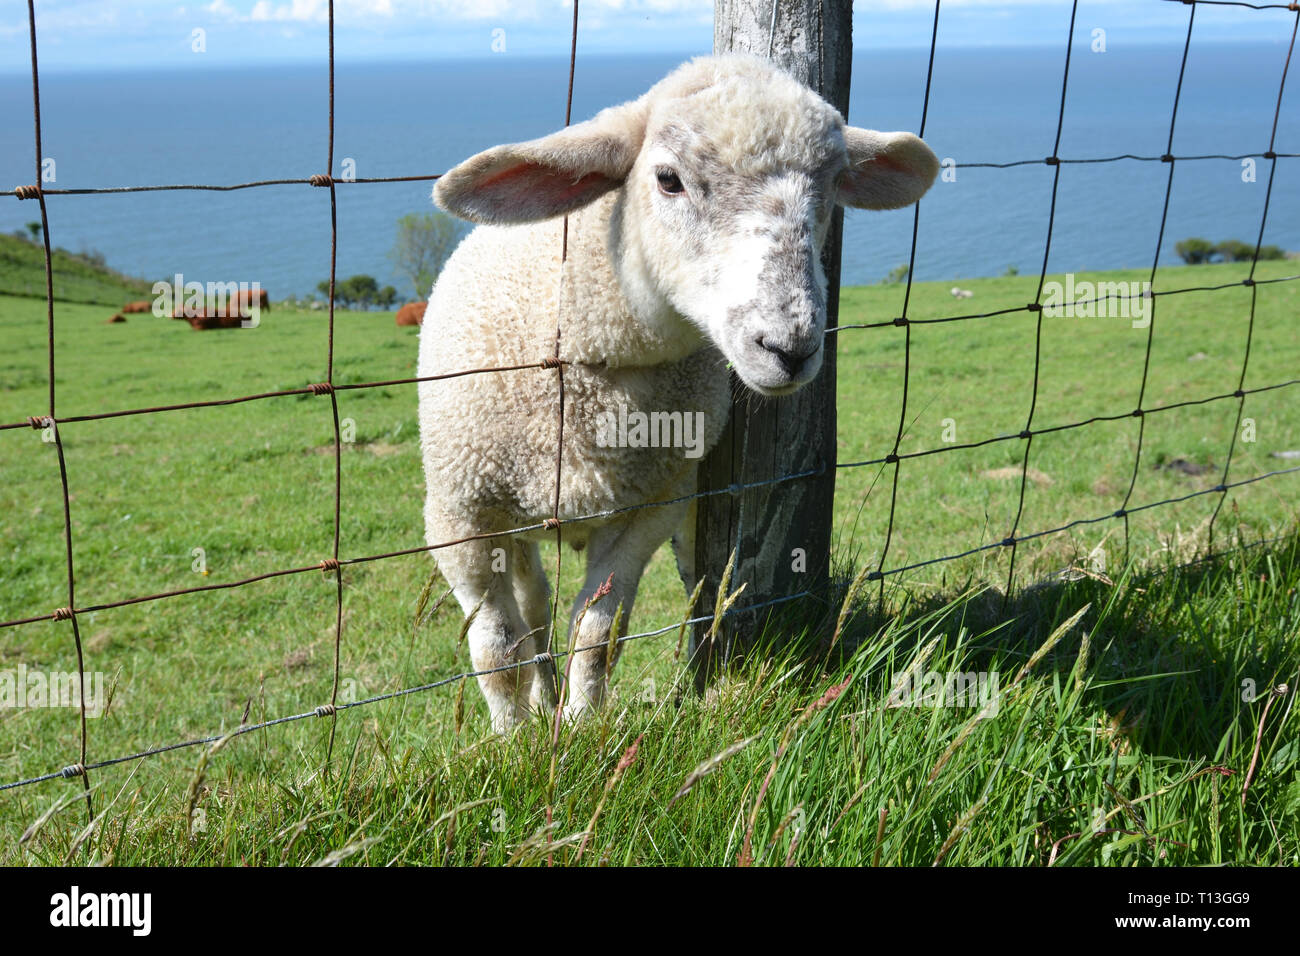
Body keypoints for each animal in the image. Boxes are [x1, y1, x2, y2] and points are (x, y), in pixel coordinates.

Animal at [421, 54, 941, 733]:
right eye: (668, 179)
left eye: (831, 187)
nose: (790, 347)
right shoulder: (460, 520)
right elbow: (496, 651)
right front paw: (512, 739)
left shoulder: (651, 508)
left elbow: (598, 634)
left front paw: (583, 727)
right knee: (532, 609)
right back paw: (540, 697)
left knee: (694, 585)